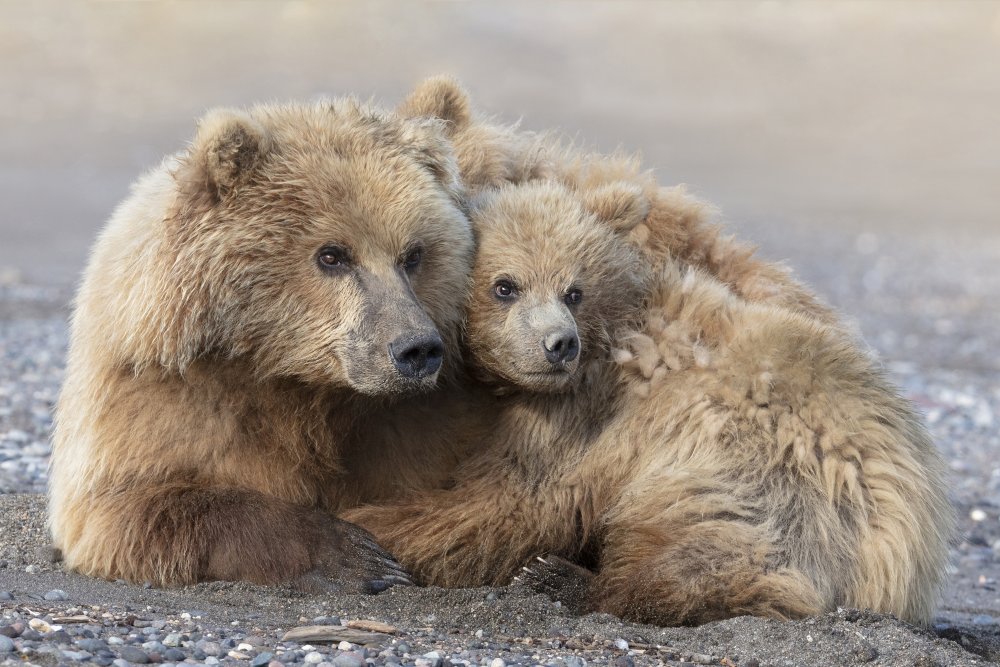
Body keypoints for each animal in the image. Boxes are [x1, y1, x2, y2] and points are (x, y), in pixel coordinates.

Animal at [48, 97, 478, 590]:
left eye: (413, 255)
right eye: (332, 255)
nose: (416, 349)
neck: (289, 380)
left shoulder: (413, 426)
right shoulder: (159, 402)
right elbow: (131, 506)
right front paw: (358, 554)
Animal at [343, 179, 953, 626]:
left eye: (573, 289)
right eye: (505, 285)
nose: (558, 344)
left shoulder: (585, 418)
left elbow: (507, 501)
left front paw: (365, 527)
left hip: (761, 476)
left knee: (713, 552)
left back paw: (562, 580)